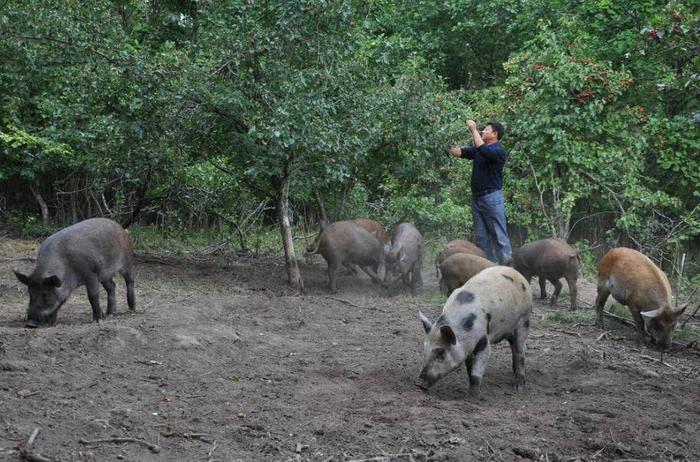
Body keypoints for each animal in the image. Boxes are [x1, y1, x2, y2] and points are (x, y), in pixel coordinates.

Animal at [416, 266, 532, 398]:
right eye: (424, 350)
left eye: (440, 353)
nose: (418, 383)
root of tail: (518, 274)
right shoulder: (468, 349)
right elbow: (469, 369)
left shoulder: (483, 341)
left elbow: (477, 371)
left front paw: (473, 397)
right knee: (514, 346)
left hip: (525, 318)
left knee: (520, 352)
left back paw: (519, 388)